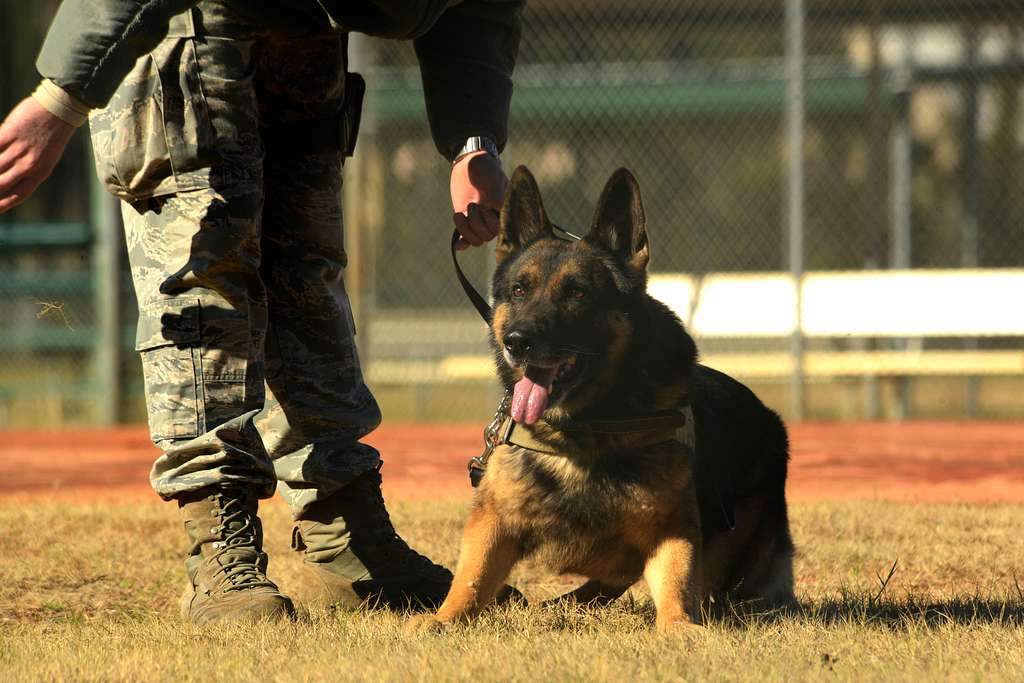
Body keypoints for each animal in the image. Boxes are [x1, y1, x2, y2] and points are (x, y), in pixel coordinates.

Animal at [419, 167, 794, 634]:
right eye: (519, 290)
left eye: (576, 293)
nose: (517, 342)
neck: (584, 430)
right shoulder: (493, 521)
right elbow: (471, 578)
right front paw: (441, 619)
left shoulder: (673, 529)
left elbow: (676, 583)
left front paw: (678, 627)